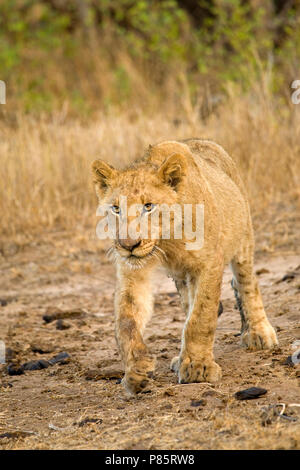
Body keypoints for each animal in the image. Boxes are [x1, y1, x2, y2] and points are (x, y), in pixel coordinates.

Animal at [92, 139, 278, 392]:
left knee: (246, 283)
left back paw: (259, 333)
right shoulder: (133, 272)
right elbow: (126, 321)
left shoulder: (210, 262)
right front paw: (137, 369)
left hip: (243, 237)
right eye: (116, 208)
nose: (128, 245)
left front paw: (199, 368)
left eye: (149, 206)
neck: (167, 241)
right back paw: (180, 359)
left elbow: (201, 317)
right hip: (182, 275)